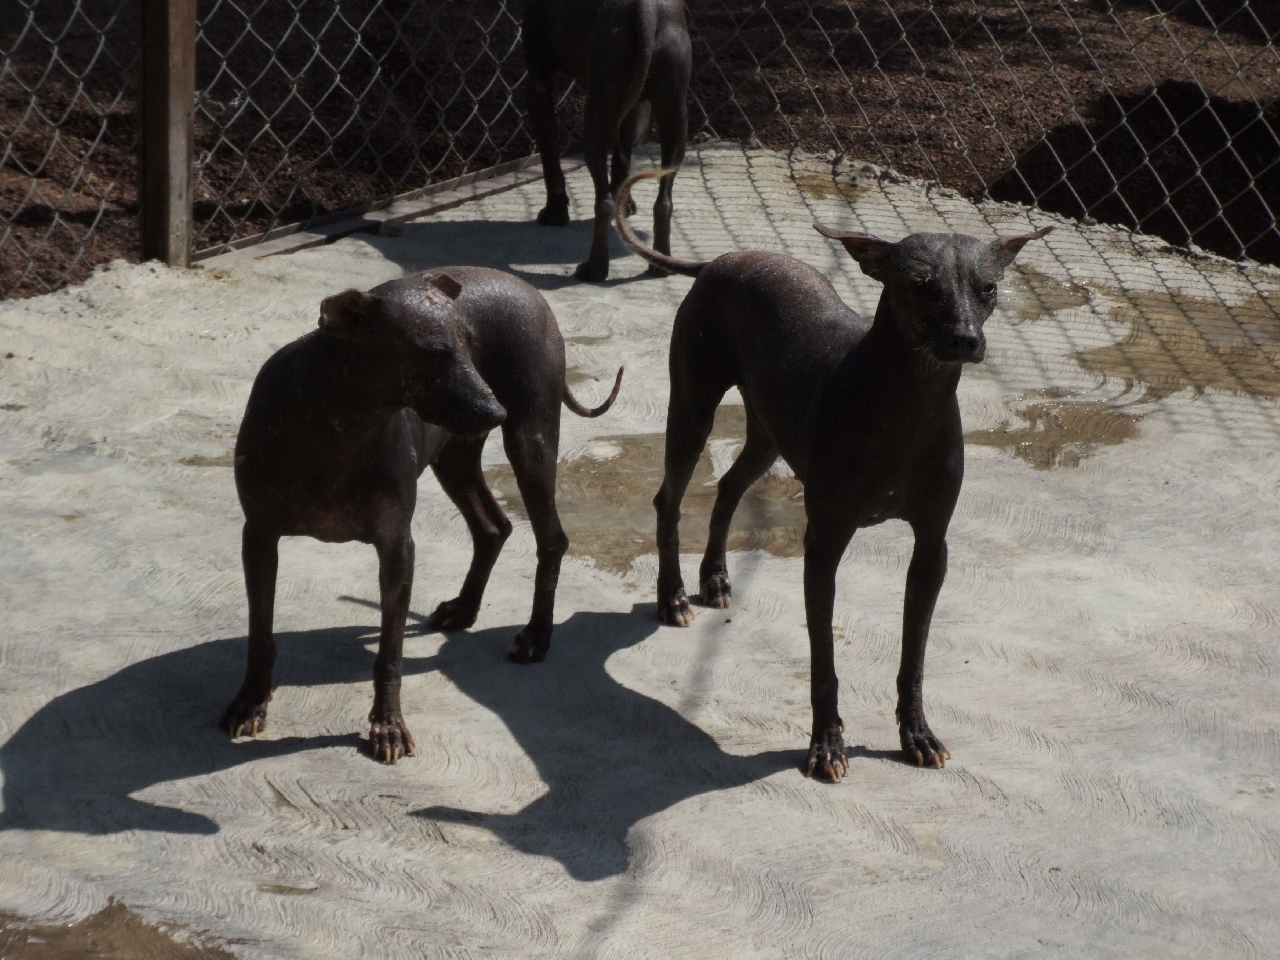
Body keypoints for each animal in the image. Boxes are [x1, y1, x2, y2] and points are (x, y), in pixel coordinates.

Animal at [225, 271, 624, 768]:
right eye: (434, 353)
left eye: (469, 346)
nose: (496, 410)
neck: (339, 424)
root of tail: (525, 285)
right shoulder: (259, 538)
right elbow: (260, 635)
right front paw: (250, 703)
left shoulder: (397, 548)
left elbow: (390, 653)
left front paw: (388, 726)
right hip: (455, 455)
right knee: (494, 527)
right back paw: (465, 607)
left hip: (529, 438)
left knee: (551, 538)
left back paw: (536, 635)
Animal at [522, 0, 691, 284]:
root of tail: (645, 9)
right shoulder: (631, 107)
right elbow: (623, 164)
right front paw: (626, 203)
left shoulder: (538, 80)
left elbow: (549, 156)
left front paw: (555, 213)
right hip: (674, 113)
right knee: (664, 201)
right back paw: (661, 263)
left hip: (595, 117)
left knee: (603, 202)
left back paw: (594, 268)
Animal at [611, 167, 1049, 783]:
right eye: (921, 285)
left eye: (987, 287)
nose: (965, 339)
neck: (905, 405)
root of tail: (723, 258)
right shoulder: (823, 545)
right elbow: (824, 659)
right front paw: (826, 744)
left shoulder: (932, 546)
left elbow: (914, 655)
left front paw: (916, 733)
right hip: (692, 410)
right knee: (669, 499)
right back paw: (672, 595)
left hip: (768, 436)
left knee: (728, 486)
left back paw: (715, 577)